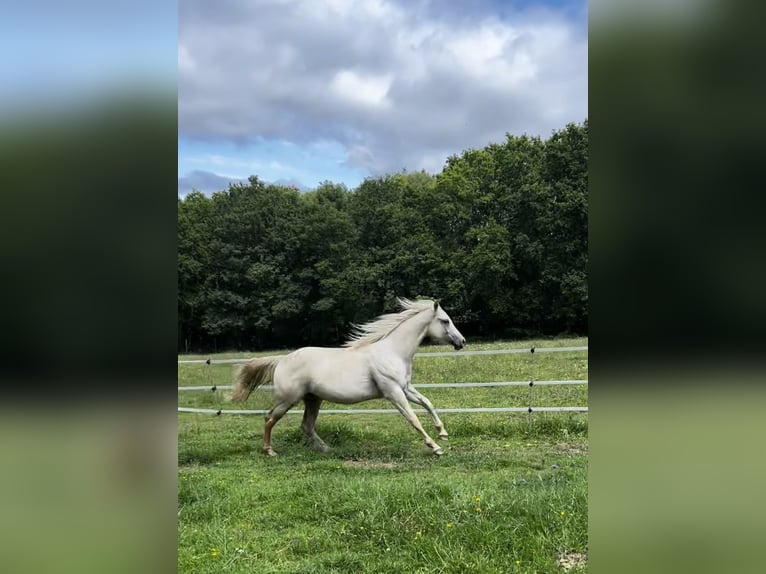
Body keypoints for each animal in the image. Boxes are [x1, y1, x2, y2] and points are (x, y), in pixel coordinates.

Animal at [230, 302, 468, 460]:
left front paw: (442, 433)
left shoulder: (406, 388)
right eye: (445, 320)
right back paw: (270, 451)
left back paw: (327, 450)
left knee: (306, 425)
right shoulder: (393, 391)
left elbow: (428, 403)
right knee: (269, 418)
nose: (462, 342)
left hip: (313, 399)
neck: (393, 352)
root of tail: (282, 360)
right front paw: (435, 447)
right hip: (288, 400)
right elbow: (413, 418)